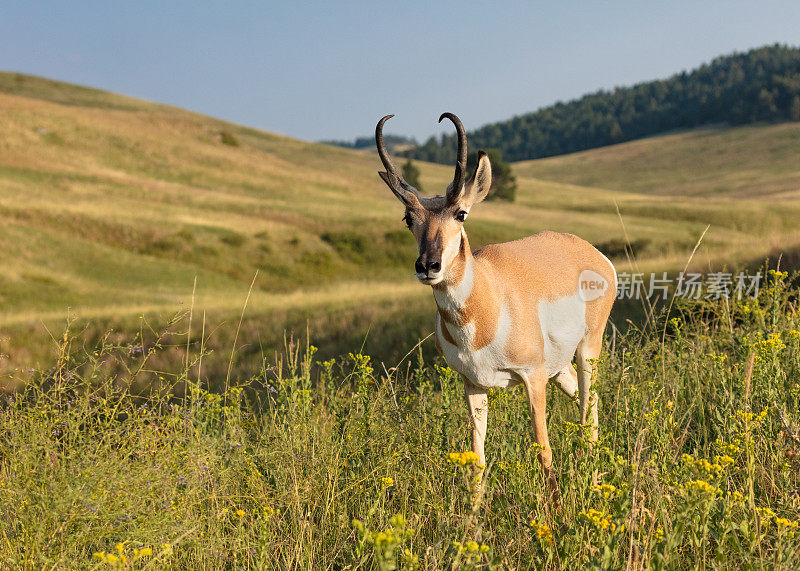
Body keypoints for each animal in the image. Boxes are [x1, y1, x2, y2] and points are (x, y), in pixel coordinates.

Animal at [376, 111, 620, 500]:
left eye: (461, 213)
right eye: (408, 219)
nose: (428, 266)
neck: (485, 308)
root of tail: (590, 251)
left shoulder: (532, 378)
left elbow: (544, 450)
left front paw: (555, 514)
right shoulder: (473, 385)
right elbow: (476, 461)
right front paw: (470, 516)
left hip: (587, 351)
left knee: (589, 412)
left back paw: (594, 488)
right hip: (559, 369)